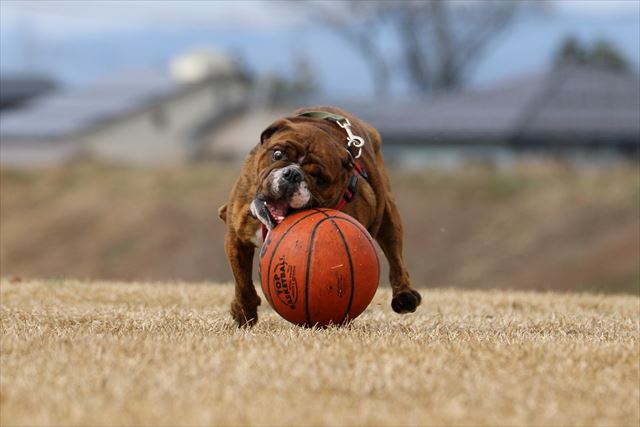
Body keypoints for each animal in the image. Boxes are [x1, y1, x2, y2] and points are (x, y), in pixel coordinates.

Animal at [219, 107, 420, 328]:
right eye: (277, 154)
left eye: (319, 178)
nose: (293, 174)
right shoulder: (236, 239)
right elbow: (243, 283)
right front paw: (243, 313)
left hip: (389, 216)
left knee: (396, 259)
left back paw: (405, 296)